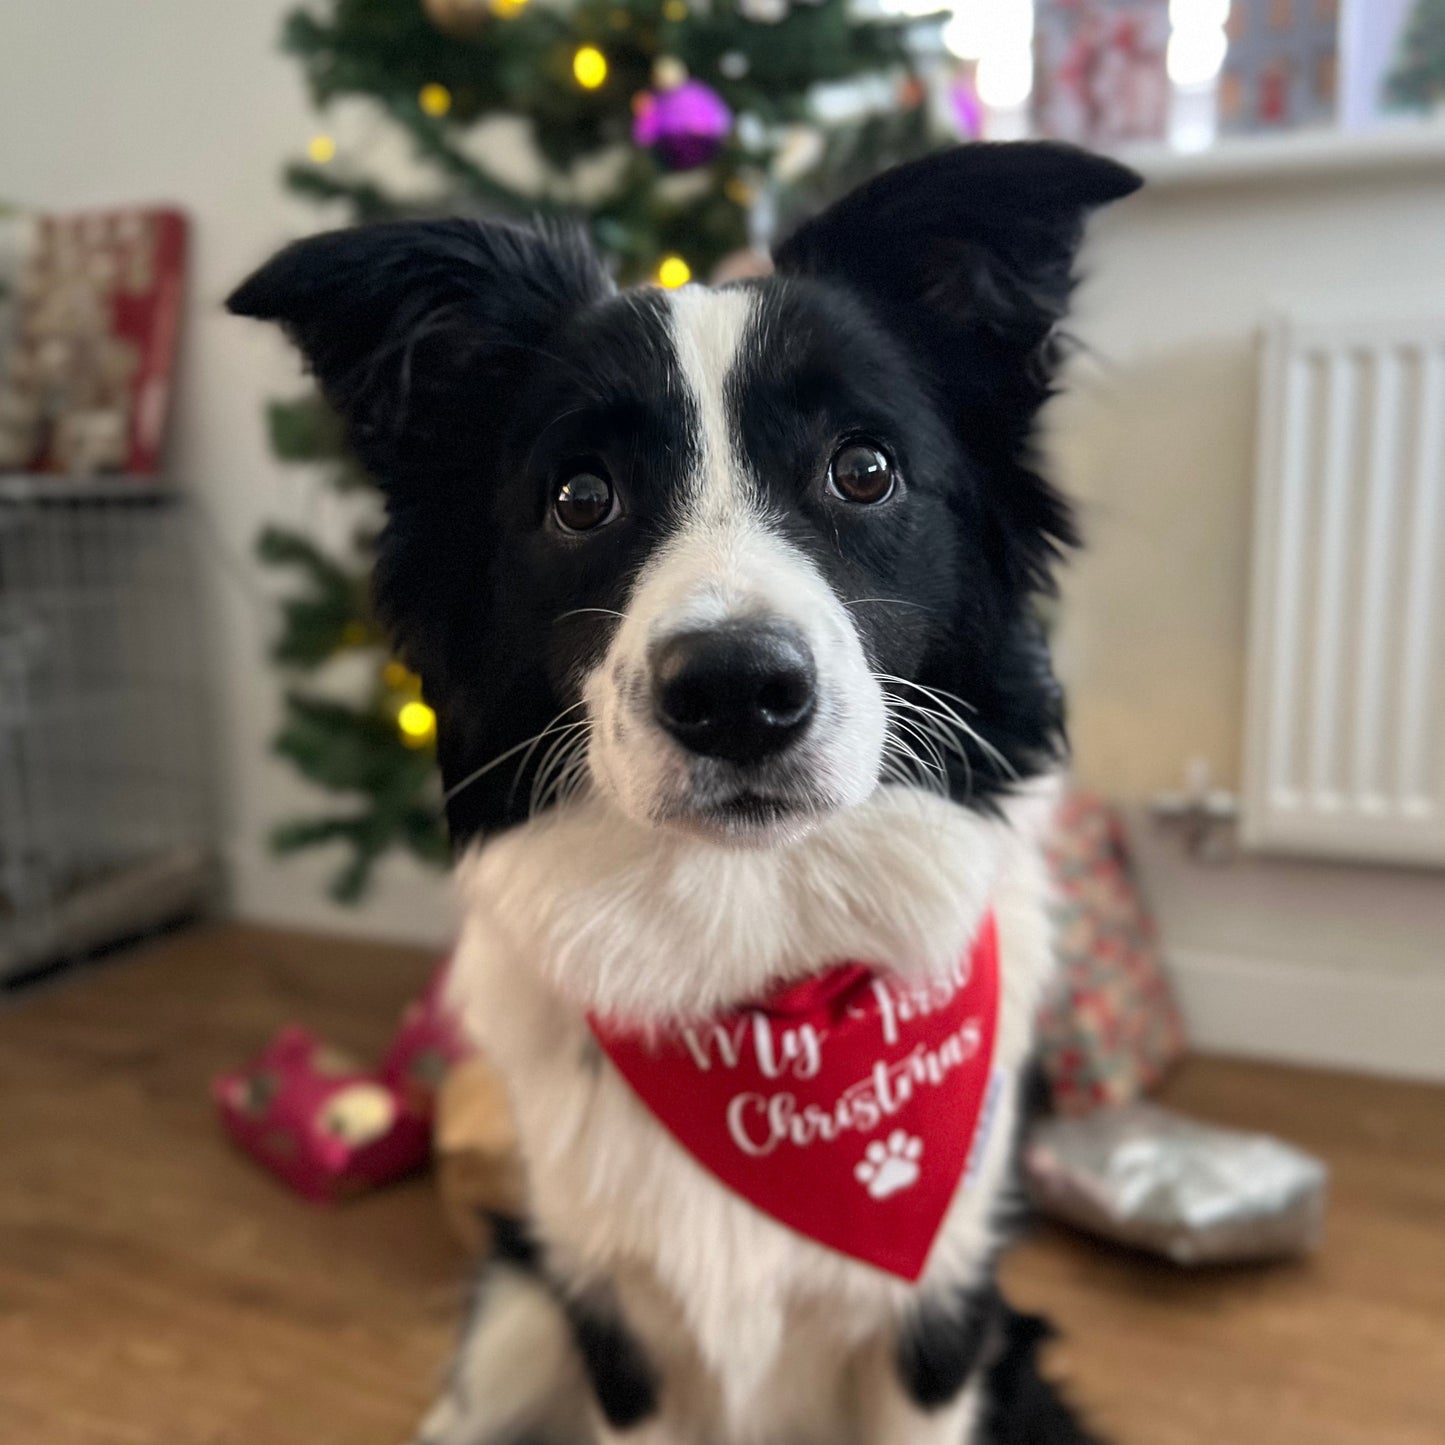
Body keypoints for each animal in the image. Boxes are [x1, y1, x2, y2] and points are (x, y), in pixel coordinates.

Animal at [234, 137, 1138, 1445]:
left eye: (862, 468)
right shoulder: (614, 1323)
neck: (755, 974)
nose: (735, 691)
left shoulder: (938, 1321)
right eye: (579, 497)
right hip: (518, 1304)